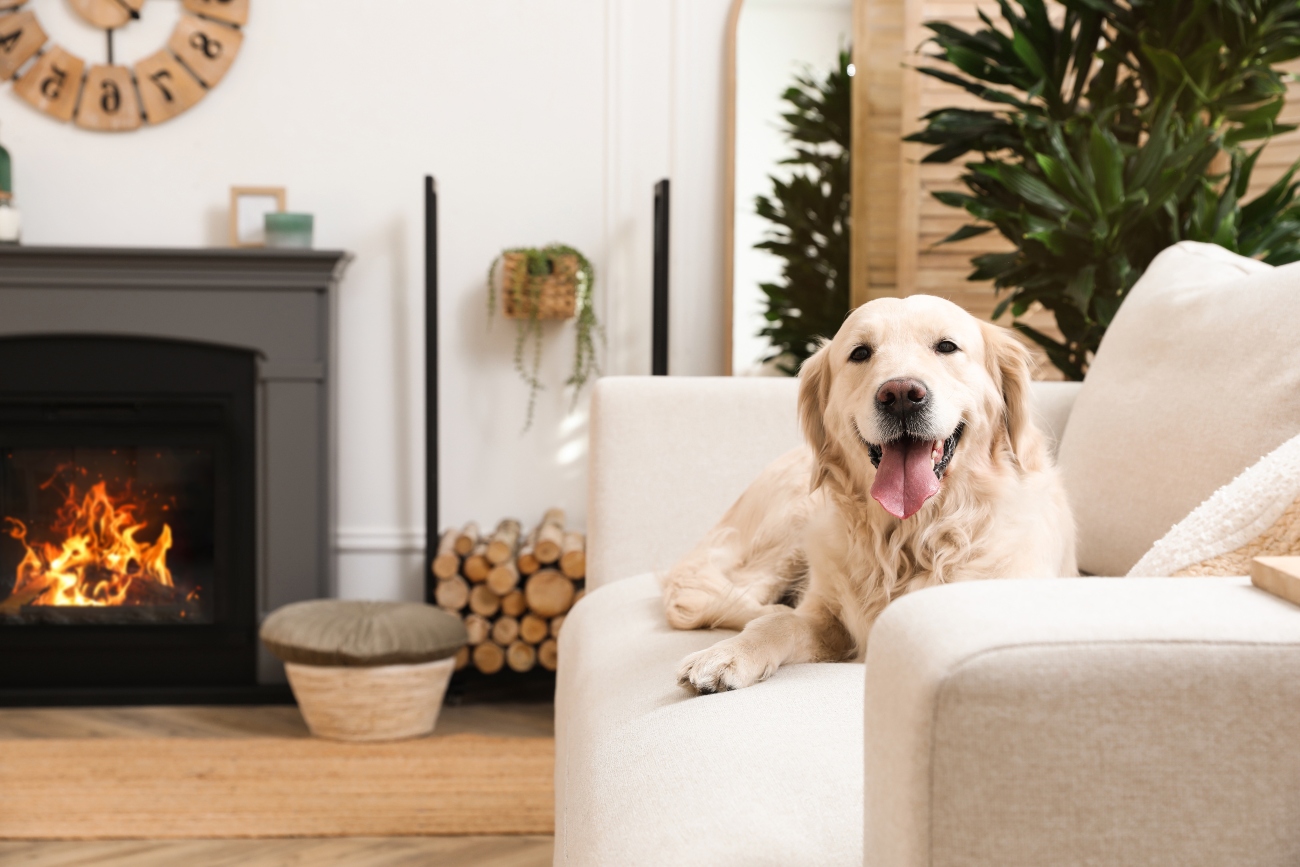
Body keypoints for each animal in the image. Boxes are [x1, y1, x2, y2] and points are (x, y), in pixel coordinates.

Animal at [665, 295, 1071, 696]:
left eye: (946, 346)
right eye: (860, 353)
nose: (902, 395)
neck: (910, 536)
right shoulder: (828, 618)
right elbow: (781, 623)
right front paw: (726, 655)